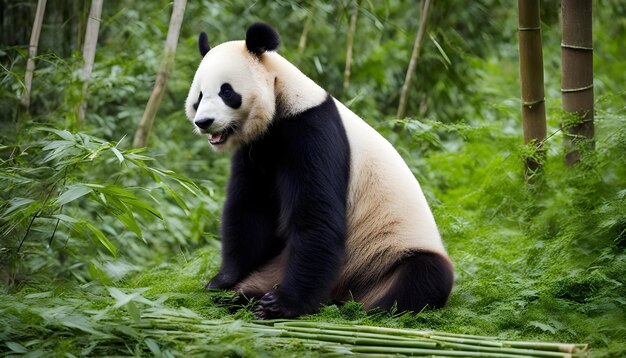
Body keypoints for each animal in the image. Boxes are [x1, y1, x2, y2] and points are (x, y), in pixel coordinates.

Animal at [183, 23, 450, 318]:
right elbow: (250, 210)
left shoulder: (313, 130)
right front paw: (222, 280)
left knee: (423, 274)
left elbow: (315, 215)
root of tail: (343, 291)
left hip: (387, 254)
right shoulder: (258, 148)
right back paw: (246, 295)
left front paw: (283, 303)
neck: (282, 99)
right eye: (198, 97)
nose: (204, 122)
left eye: (226, 92)